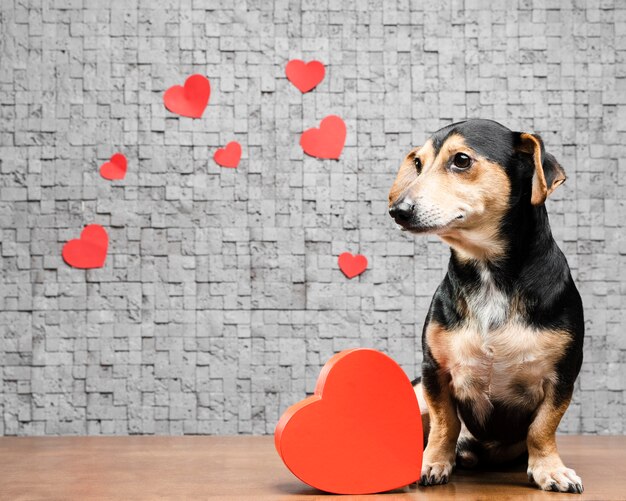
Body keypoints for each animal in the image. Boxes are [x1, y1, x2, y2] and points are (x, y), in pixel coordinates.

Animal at [388, 119, 584, 494]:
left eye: (461, 160)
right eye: (418, 163)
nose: (397, 211)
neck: (488, 273)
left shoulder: (562, 374)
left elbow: (542, 428)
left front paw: (549, 469)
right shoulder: (434, 370)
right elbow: (445, 423)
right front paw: (433, 463)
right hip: (415, 394)